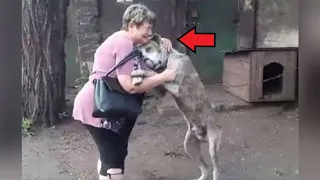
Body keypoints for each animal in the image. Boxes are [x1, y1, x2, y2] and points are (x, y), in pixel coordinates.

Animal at [130, 33, 222, 180]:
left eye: (148, 49)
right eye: (141, 55)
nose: (144, 59)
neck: (169, 59)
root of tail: (203, 134)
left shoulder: (177, 87)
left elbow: (155, 74)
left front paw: (139, 72)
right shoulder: (160, 91)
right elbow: (155, 78)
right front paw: (138, 77)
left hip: (213, 147)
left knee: (215, 169)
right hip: (189, 146)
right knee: (206, 168)